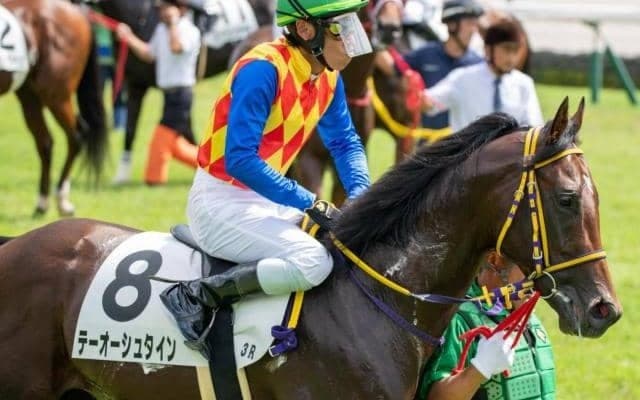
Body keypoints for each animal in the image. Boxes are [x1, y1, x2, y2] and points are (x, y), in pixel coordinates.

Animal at [0, 0, 107, 216]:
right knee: (45, 142)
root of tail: (77, 10)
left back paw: (62, 201)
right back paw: (43, 203)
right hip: (30, 96)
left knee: (76, 136)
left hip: (56, 95)